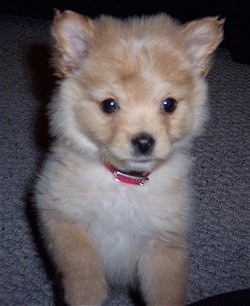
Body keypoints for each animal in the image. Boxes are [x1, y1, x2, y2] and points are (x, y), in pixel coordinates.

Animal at [34, 10, 224, 306]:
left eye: (169, 104)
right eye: (109, 105)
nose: (144, 142)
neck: (123, 182)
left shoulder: (163, 245)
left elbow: (166, 291)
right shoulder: (58, 213)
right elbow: (81, 259)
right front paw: (88, 293)